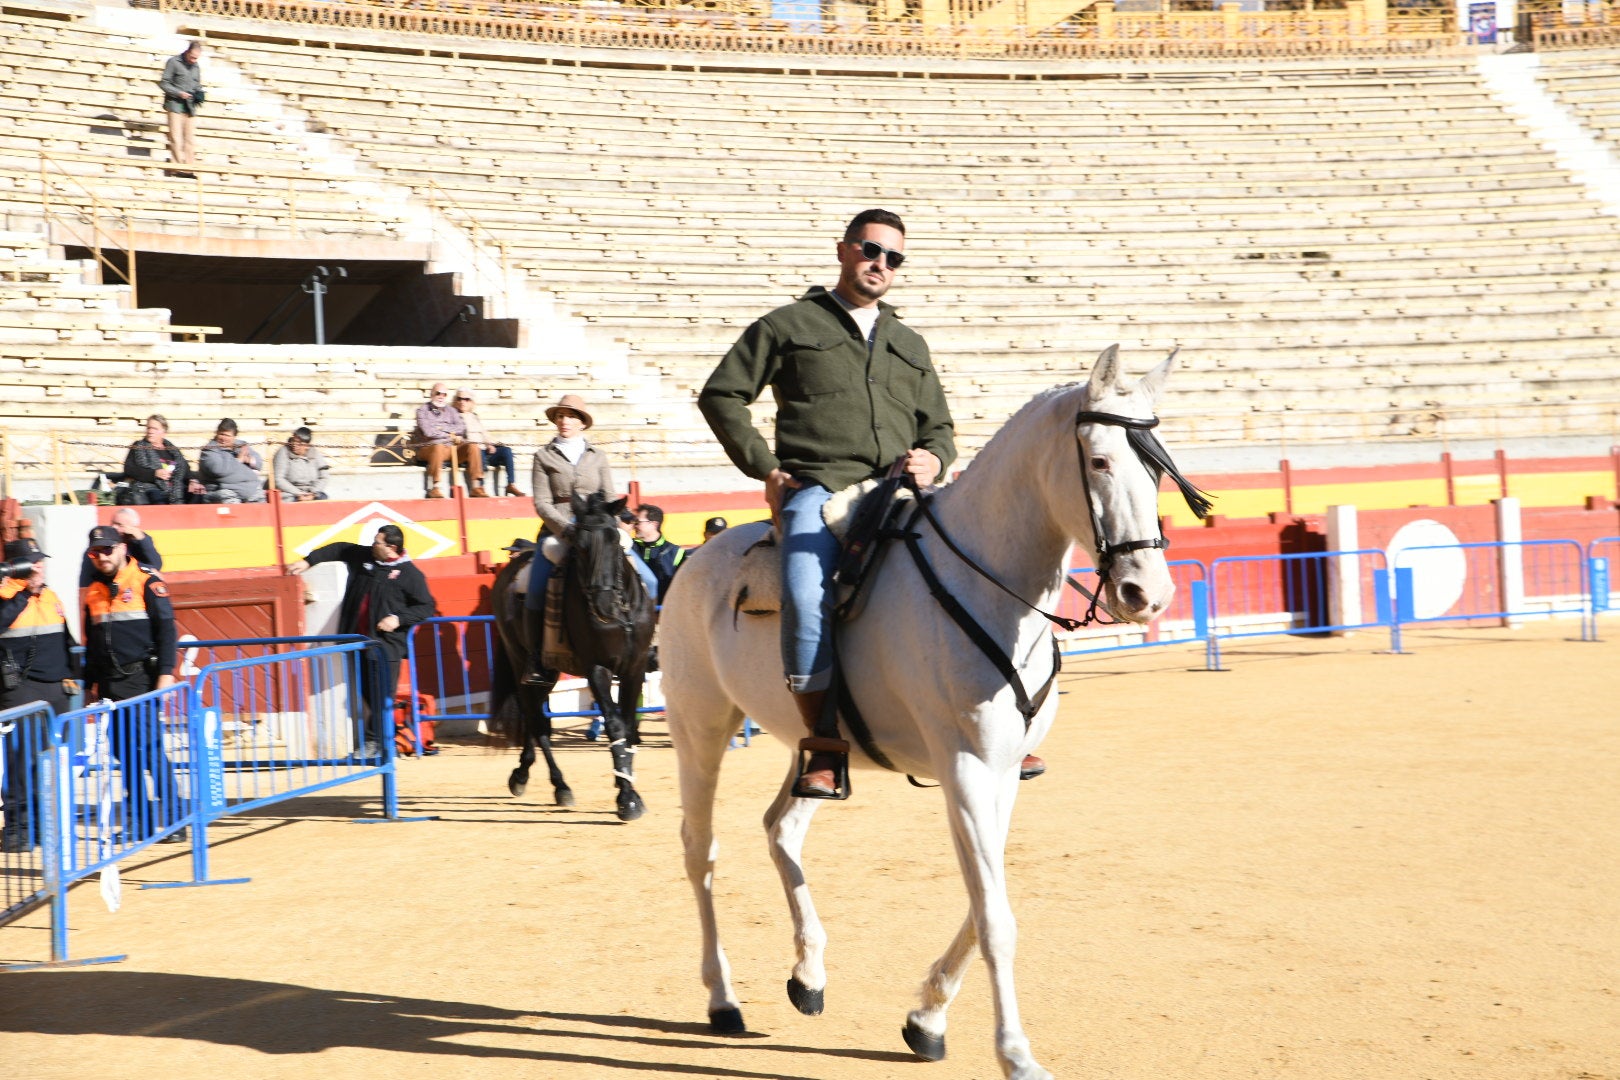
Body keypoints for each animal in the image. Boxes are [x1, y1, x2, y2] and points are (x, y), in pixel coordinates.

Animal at [486, 495, 657, 822]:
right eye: (579, 545)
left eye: (614, 539)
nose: (603, 606)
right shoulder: (597, 668)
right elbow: (615, 725)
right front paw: (626, 800)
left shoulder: (635, 667)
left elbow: (629, 727)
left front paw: (629, 788)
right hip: (521, 662)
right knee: (536, 720)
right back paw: (557, 786)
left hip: (550, 674)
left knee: (535, 718)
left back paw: (523, 775)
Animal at [657, 346, 1205, 1080]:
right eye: (1099, 461)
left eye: (1157, 466)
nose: (1148, 594)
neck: (992, 585)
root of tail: (697, 560)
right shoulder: (966, 768)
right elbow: (995, 917)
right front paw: (1015, 1055)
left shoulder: (1003, 773)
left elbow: (986, 897)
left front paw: (926, 1018)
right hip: (700, 726)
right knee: (700, 849)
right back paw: (722, 999)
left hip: (814, 744)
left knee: (782, 828)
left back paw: (809, 975)